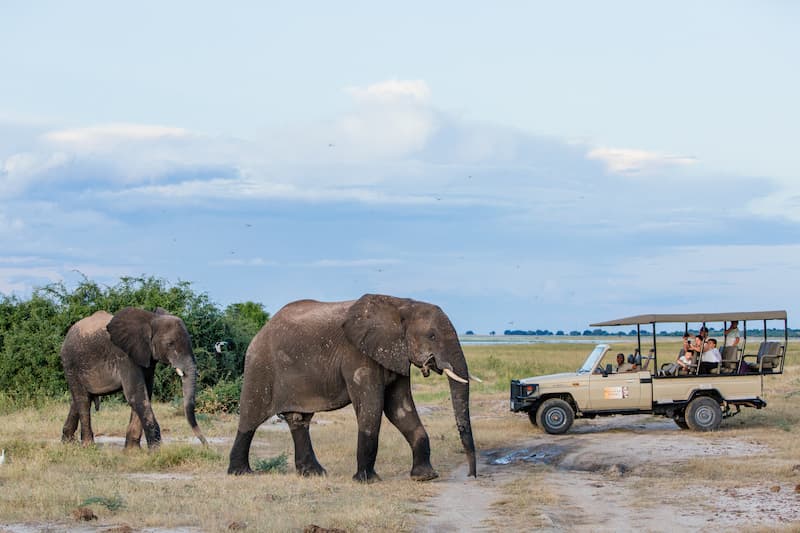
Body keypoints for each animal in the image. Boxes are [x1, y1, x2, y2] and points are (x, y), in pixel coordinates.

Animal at [61, 308, 208, 448]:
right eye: (170, 344)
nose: (206, 446)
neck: (150, 319)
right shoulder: (125, 357)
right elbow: (136, 395)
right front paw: (157, 451)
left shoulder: (147, 358)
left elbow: (145, 394)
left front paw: (132, 450)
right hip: (71, 364)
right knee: (83, 399)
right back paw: (87, 446)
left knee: (79, 400)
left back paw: (68, 443)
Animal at [227, 294, 476, 480]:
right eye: (432, 336)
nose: (472, 476)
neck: (401, 304)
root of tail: (261, 330)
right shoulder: (358, 355)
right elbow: (373, 406)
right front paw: (367, 480)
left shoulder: (395, 355)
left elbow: (400, 407)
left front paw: (425, 477)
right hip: (260, 367)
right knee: (251, 417)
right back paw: (241, 473)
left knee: (299, 420)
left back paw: (314, 474)